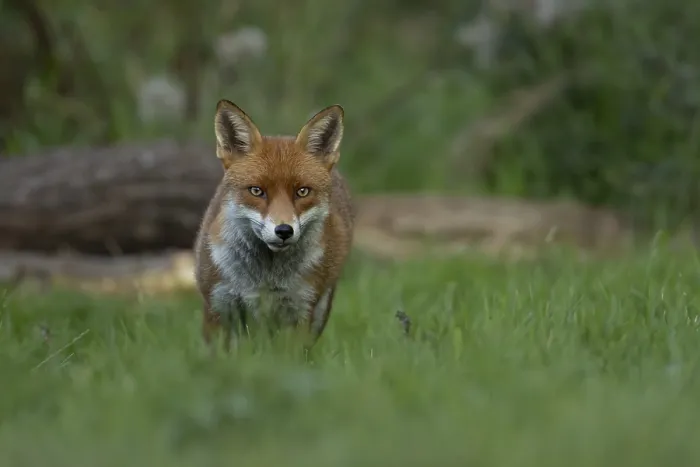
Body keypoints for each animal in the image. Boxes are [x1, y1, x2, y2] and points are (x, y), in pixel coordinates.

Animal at [194, 99, 355, 353]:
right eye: (256, 191)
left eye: (302, 191)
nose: (284, 231)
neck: (265, 276)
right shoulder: (218, 305)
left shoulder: (300, 310)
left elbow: (288, 359)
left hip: (318, 309)